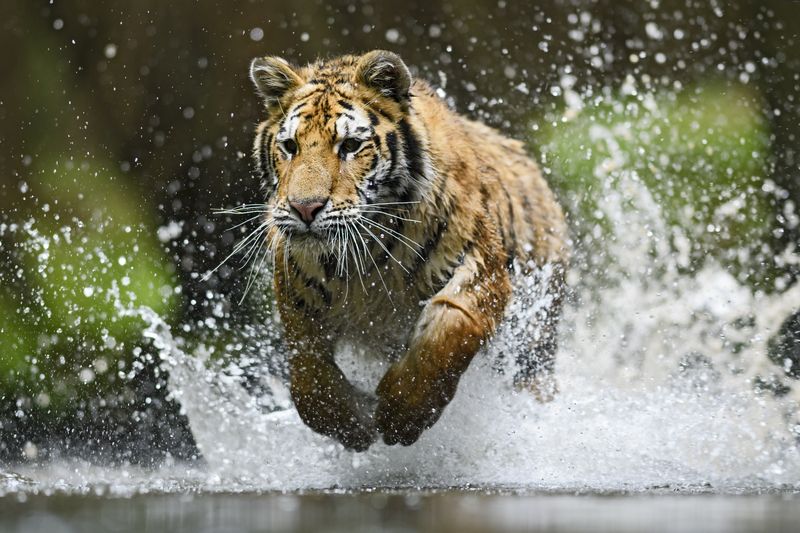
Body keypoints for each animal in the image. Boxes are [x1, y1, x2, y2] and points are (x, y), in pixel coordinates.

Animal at [248, 50, 568, 451]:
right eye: (290, 146)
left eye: (349, 146)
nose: (305, 208)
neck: (363, 259)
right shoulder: (296, 291)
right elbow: (308, 382)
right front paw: (352, 426)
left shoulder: (482, 271)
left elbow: (449, 330)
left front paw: (401, 415)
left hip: (536, 342)